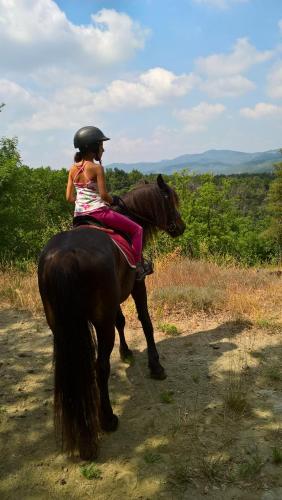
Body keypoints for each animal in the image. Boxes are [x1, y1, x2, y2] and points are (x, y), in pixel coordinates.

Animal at [38, 174, 186, 458]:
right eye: (170, 200)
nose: (180, 227)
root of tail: (64, 256)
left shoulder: (114, 299)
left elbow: (122, 320)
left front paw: (126, 352)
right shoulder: (137, 285)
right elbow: (146, 322)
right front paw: (155, 366)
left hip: (60, 325)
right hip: (100, 322)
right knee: (100, 367)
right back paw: (107, 419)